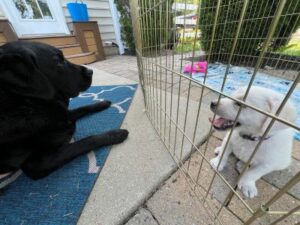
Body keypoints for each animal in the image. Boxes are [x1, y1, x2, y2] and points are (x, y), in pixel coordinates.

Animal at [0, 41, 127, 180]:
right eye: (58, 61)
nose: (90, 71)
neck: (28, 102)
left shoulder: (63, 115)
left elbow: (82, 108)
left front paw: (102, 103)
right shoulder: (37, 164)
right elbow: (86, 141)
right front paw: (115, 134)